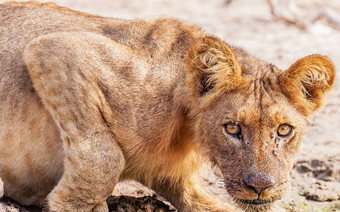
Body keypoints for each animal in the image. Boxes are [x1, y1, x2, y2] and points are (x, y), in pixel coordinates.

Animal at [0, 1, 334, 212]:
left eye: (284, 130)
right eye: (232, 128)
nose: (260, 186)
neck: (186, 129)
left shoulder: (173, 178)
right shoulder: (56, 49)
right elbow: (104, 158)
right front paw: (75, 204)